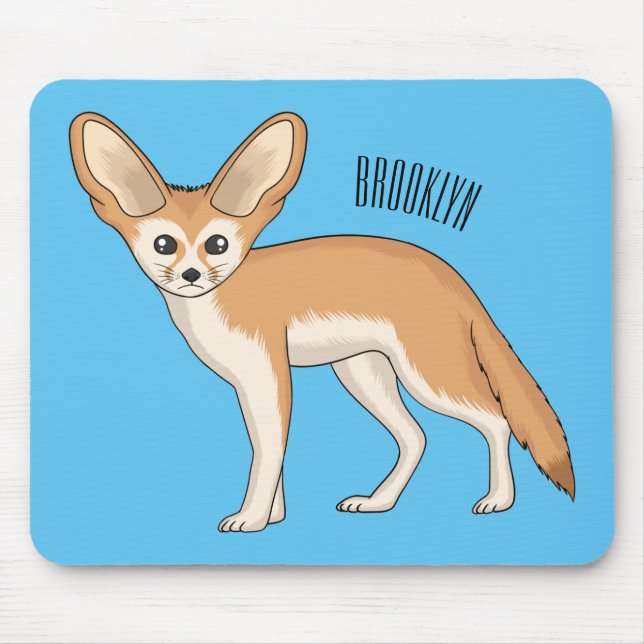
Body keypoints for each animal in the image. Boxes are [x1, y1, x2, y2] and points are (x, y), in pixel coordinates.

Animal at [69, 111, 574, 533]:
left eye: (216, 245)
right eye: (163, 245)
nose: (191, 275)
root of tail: (450, 273)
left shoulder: (269, 374)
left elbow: (267, 453)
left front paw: (251, 519)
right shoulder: (251, 383)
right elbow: (270, 451)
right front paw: (274, 517)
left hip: (427, 377)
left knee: (497, 421)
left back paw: (498, 500)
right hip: (362, 374)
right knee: (415, 436)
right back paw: (378, 503)